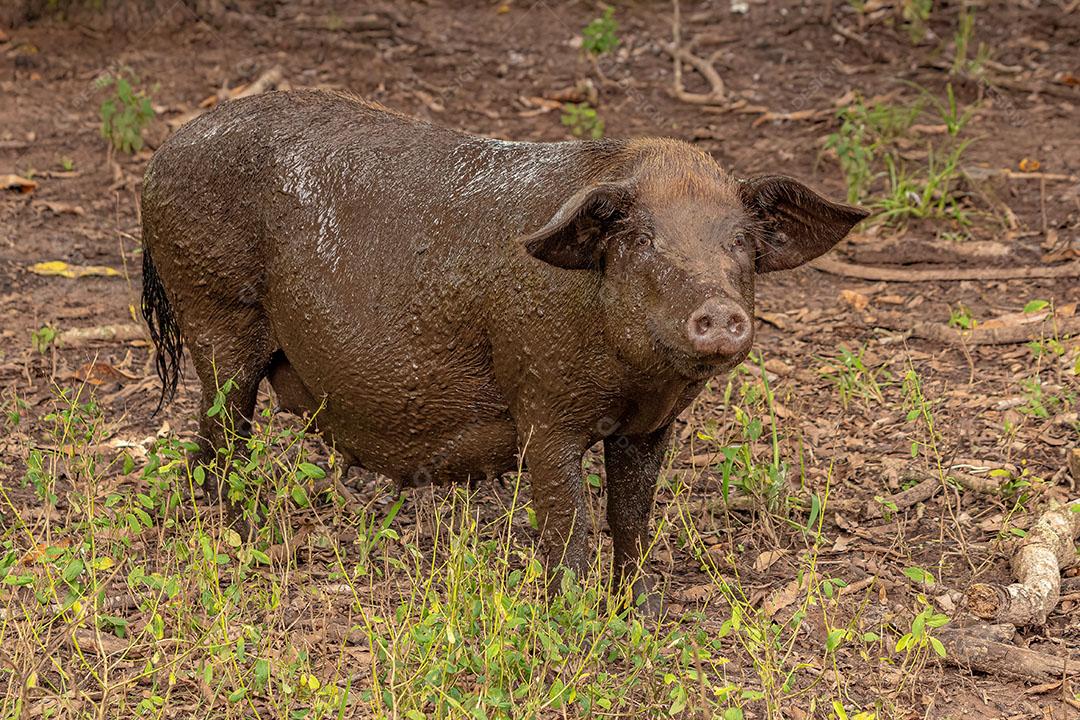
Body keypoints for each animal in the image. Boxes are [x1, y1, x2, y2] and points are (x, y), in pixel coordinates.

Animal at [140, 90, 867, 613]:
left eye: (739, 242)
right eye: (641, 240)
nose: (719, 312)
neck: (636, 380)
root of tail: (163, 155)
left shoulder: (650, 425)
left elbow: (631, 516)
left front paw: (640, 612)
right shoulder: (543, 405)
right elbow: (568, 523)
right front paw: (569, 620)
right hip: (215, 312)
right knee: (222, 436)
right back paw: (243, 542)